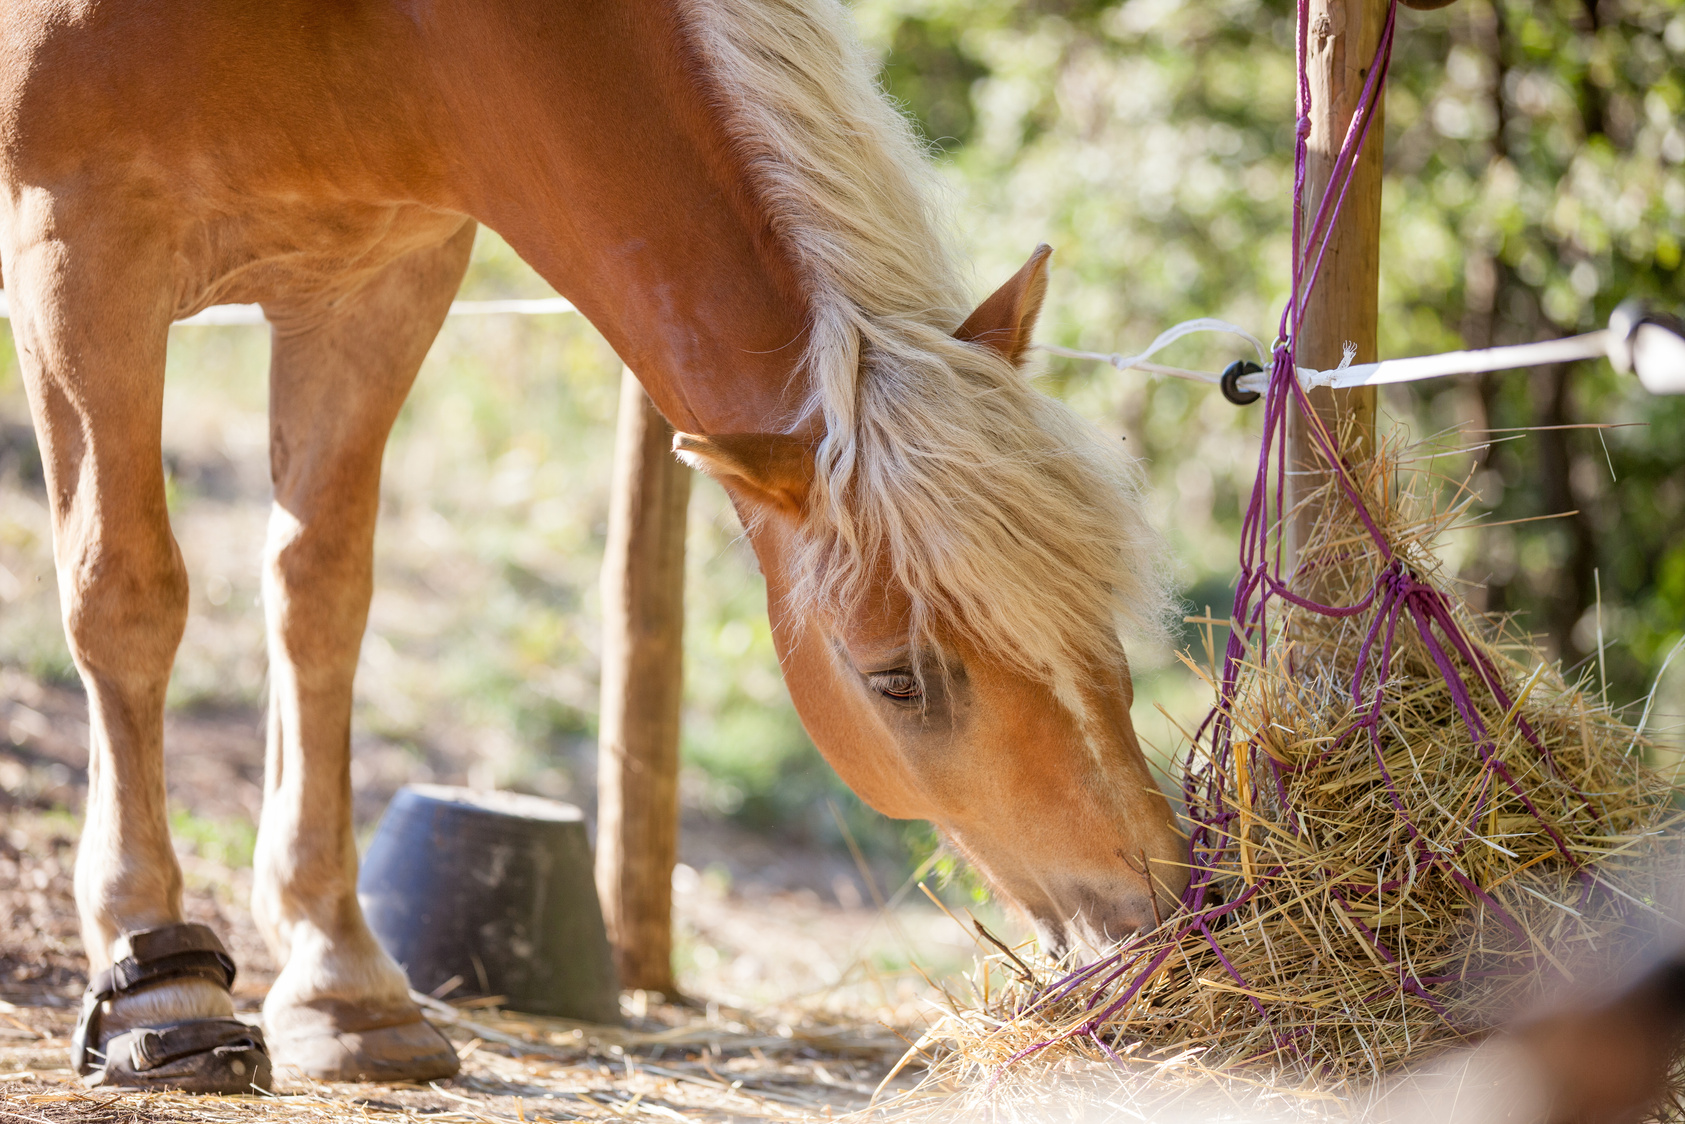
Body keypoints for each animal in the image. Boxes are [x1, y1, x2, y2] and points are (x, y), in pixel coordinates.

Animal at [0, 0, 1186, 1091]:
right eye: (896, 681)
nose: (1162, 923)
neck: (393, 35)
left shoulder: (378, 281)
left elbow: (321, 598)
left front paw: (343, 982)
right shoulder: (80, 249)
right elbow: (127, 594)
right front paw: (158, 973)